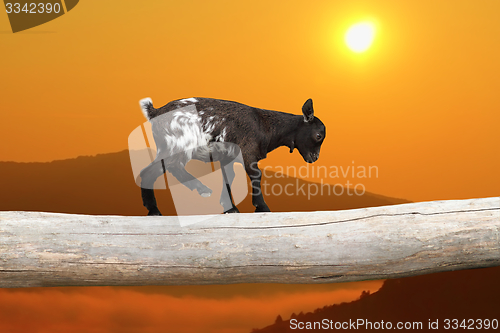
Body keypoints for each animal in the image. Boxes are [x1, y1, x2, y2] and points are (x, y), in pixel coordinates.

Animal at [138, 96, 324, 215]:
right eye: (318, 136)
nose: (314, 158)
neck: (265, 125)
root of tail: (155, 112)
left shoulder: (227, 157)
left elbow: (229, 176)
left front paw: (230, 208)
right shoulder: (248, 152)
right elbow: (256, 175)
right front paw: (262, 207)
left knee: (150, 171)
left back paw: (154, 210)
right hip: (179, 144)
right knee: (170, 167)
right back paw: (201, 190)